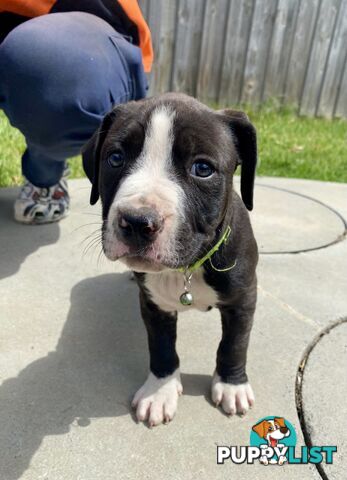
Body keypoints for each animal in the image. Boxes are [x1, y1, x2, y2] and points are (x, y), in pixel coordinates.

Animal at [83, 92, 258, 426]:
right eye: (115, 158)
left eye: (202, 168)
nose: (137, 222)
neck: (188, 267)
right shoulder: (154, 305)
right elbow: (161, 346)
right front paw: (159, 392)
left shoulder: (243, 299)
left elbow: (235, 344)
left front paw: (232, 385)